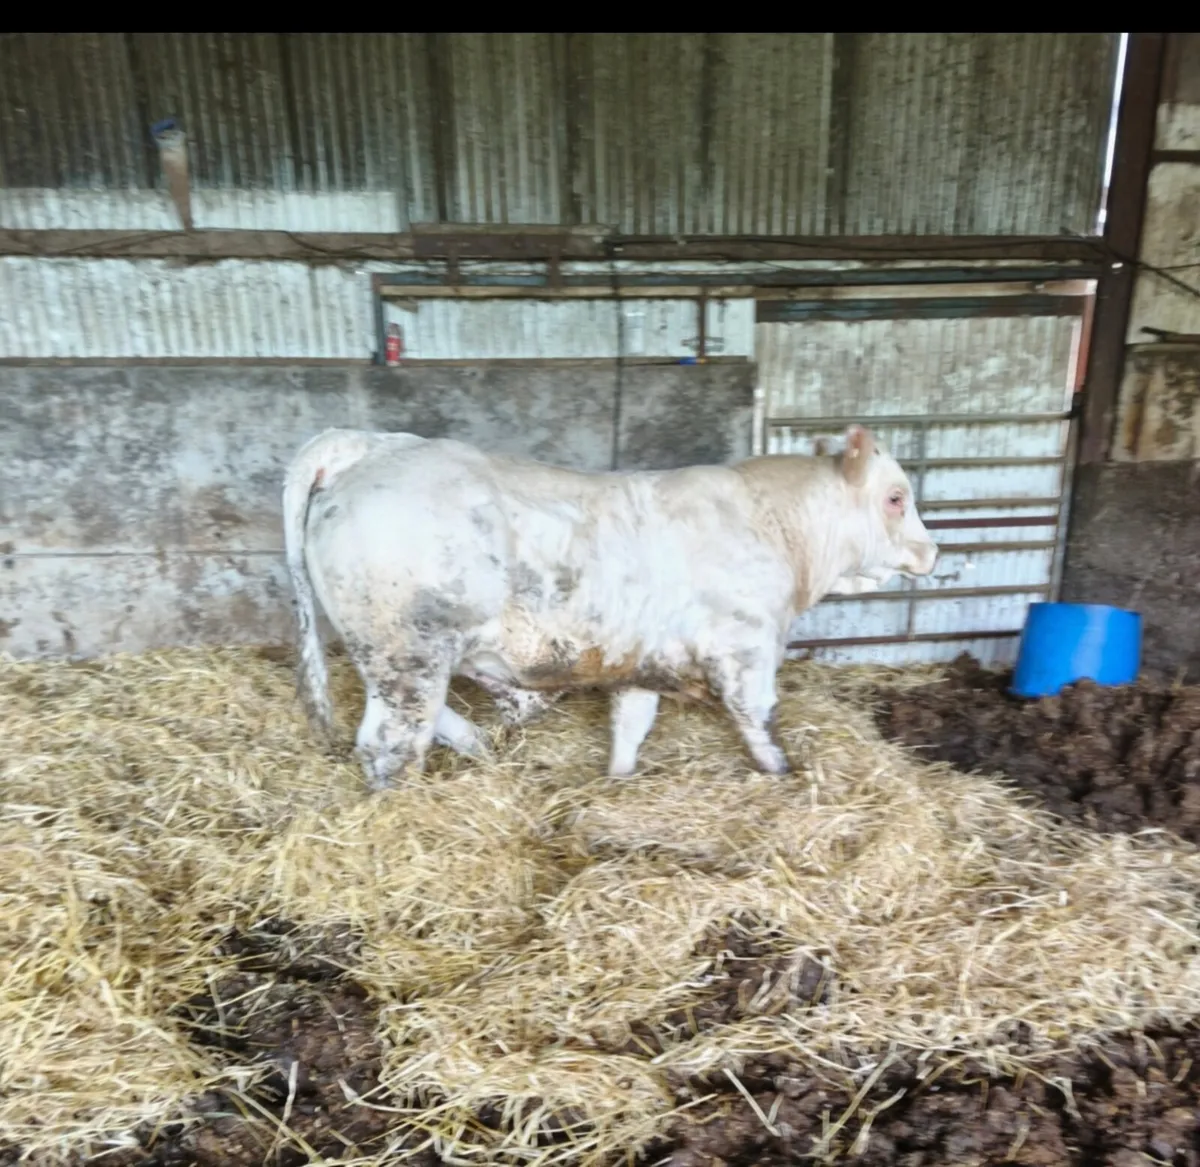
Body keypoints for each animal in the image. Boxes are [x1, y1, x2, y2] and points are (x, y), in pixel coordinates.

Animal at [281, 424, 937, 789]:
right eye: (896, 497)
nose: (931, 551)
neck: (776, 527)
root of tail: (366, 446)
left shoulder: (643, 656)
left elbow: (630, 726)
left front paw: (618, 781)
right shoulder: (746, 649)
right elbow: (759, 723)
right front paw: (783, 777)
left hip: (403, 653)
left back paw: (484, 742)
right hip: (408, 649)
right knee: (391, 742)